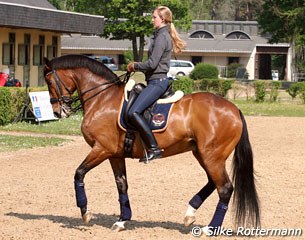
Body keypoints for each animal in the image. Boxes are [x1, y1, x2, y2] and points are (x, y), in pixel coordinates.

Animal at [44, 54, 260, 232]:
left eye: (49, 81)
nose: (57, 112)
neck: (102, 99)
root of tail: (234, 109)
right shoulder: (114, 154)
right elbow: (122, 185)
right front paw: (122, 220)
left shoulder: (101, 149)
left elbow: (79, 174)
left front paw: (85, 212)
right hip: (203, 154)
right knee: (213, 183)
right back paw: (189, 214)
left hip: (212, 156)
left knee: (224, 188)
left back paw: (210, 228)